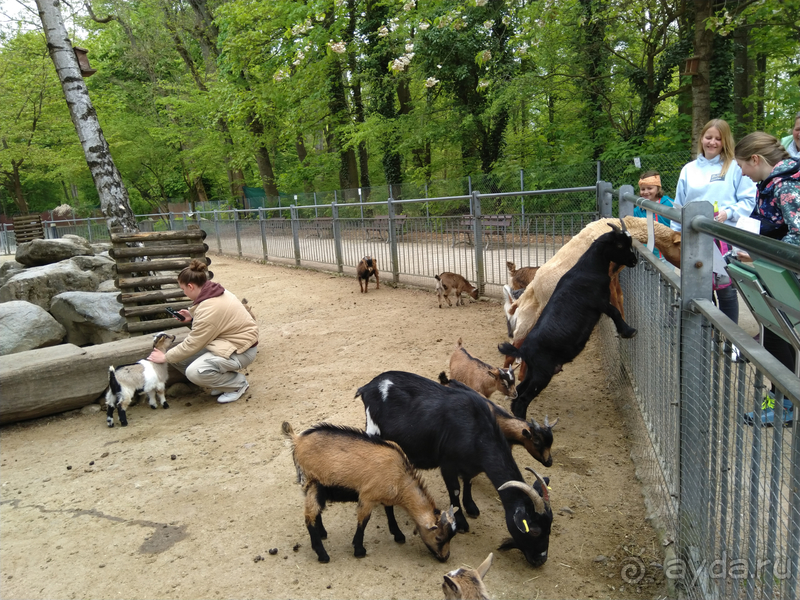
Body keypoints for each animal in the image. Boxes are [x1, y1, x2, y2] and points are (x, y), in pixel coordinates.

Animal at [354, 370, 552, 568]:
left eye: (549, 527)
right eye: (534, 530)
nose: (541, 559)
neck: (476, 430)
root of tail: (368, 387)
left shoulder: (469, 466)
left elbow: (468, 482)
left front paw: (471, 507)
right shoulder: (448, 464)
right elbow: (455, 490)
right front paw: (462, 521)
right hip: (374, 431)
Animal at [500, 220, 636, 418]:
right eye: (619, 245)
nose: (634, 260)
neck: (588, 269)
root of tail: (524, 350)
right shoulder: (599, 302)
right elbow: (615, 313)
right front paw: (628, 331)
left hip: (534, 372)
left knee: (517, 394)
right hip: (542, 373)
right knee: (522, 400)